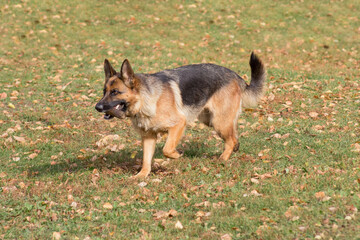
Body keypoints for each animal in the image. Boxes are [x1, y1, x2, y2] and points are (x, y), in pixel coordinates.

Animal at [94, 53, 266, 180]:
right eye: (104, 91)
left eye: (115, 92)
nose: (97, 107)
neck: (144, 100)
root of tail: (236, 76)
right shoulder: (148, 137)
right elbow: (146, 160)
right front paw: (141, 175)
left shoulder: (178, 124)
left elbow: (167, 149)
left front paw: (177, 155)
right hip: (211, 120)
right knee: (234, 137)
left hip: (218, 122)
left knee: (230, 140)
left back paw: (222, 159)